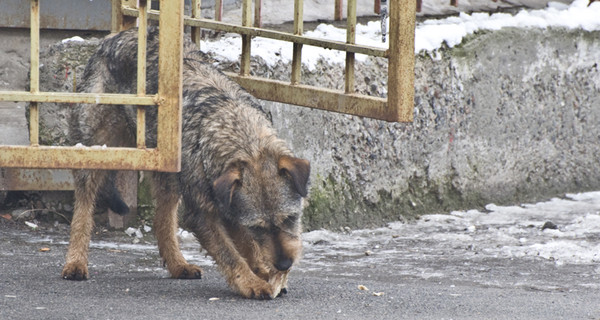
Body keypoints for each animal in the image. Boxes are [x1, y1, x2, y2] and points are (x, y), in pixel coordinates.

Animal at [63, 27, 312, 300]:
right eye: (259, 227)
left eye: (290, 218)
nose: (285, 264)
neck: (239, 132)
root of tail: (115, 35)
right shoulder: (204, 215)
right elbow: (231, 255)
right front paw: (252, 283)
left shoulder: (231, 210)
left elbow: (248, 247)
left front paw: (265, 273)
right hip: (95, 151)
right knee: (83, 209)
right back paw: (75, 262)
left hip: (168, 172)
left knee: (162, 220)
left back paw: (177, 264)